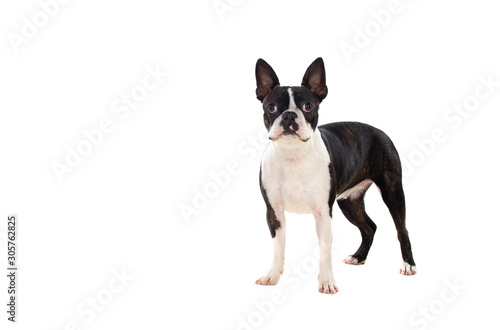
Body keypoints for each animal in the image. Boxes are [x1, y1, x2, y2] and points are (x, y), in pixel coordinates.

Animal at [256, 56, 416, 294]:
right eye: (272, 107)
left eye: (308, 106)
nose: (289, 115)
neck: (293, 155)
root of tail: (380, 131)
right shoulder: (274, 213)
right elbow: (278, 248)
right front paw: (272, 276)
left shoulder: (323, 213)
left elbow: (324, 251)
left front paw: (327, 282)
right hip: (350, 201)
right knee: (370, 227)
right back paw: (358, 257)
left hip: (392, 190)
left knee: (401, 229)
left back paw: (408, 264)